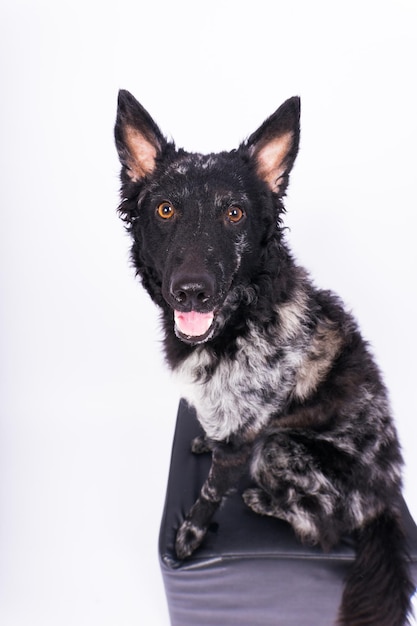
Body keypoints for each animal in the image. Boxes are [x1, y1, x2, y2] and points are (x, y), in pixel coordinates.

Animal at [114, 90, 412, 620]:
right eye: (165, 210)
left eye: (234, 214)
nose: (192, 293)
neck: (242, 317)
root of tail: (384, 502)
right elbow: (214, 435)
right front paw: (203, 440)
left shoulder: (246, 438)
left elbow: (211, 490)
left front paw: (191, 532)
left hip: (282, 449)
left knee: (320, 527)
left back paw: (261, 500)